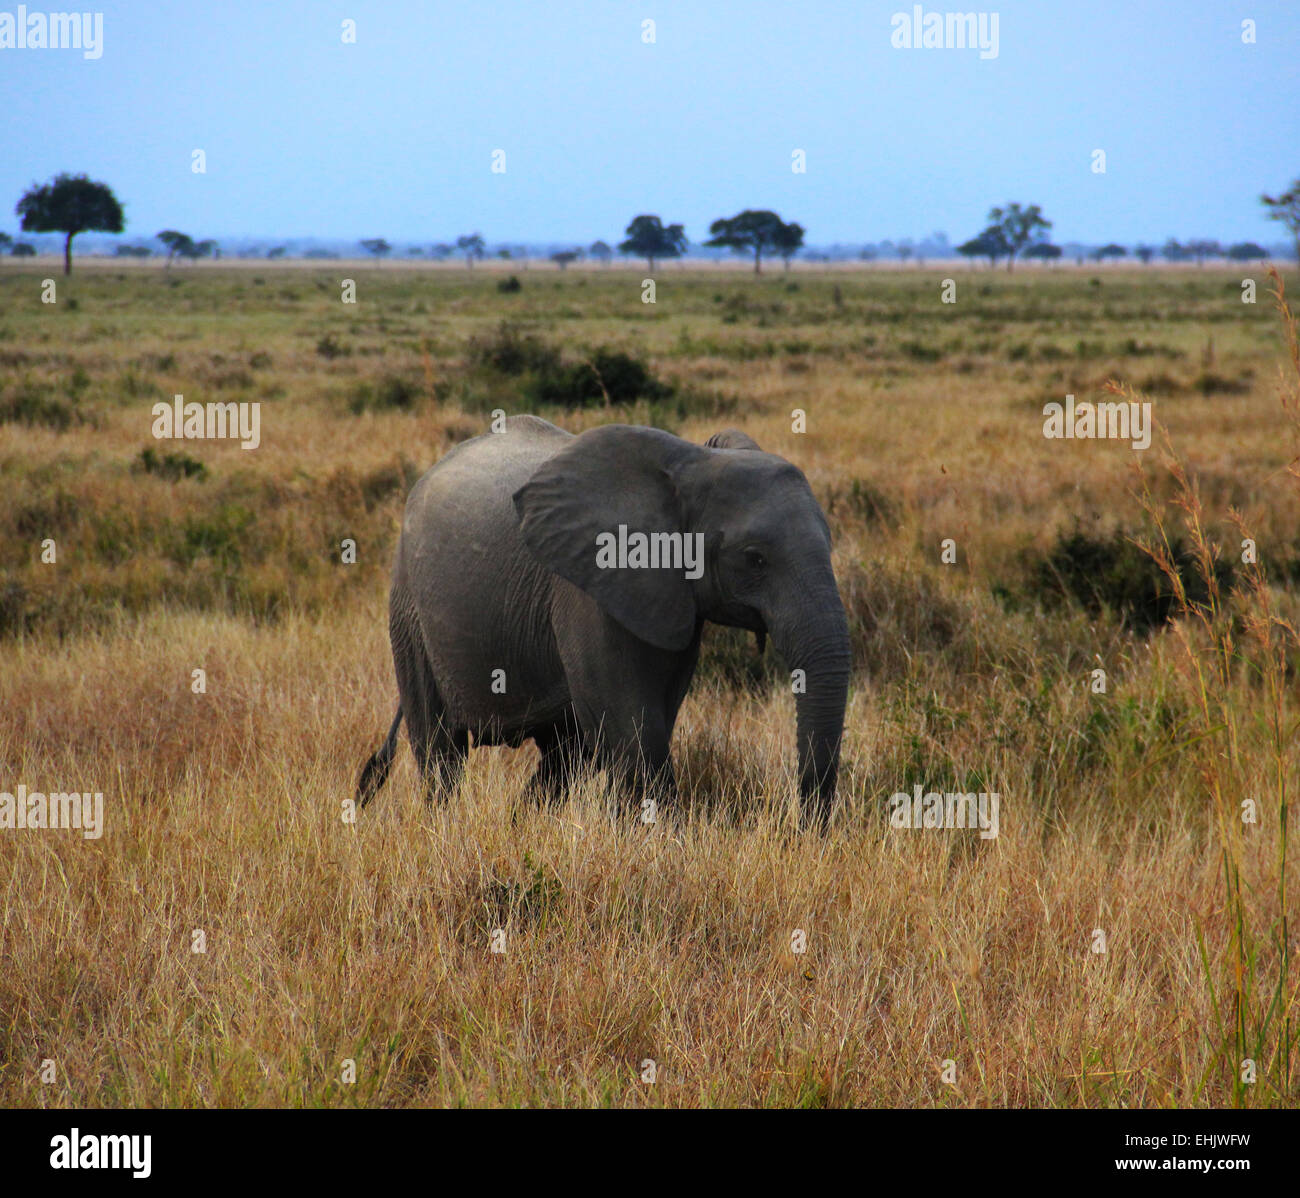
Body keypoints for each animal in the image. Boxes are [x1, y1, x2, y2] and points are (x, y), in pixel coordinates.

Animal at [356, 413, 852, 821]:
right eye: (754, 559)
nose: (801, 830)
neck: (696, 462)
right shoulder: (587, 585)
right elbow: (630, 720)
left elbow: (651, 713)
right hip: (408, 606)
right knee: (439, 747)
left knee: (564, 754)